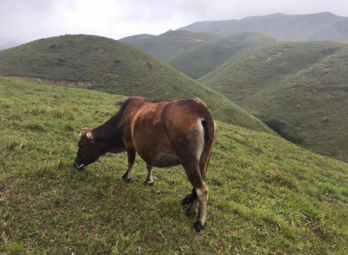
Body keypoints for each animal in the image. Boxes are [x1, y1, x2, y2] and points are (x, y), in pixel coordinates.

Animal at [73, 96, 216, 232]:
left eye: (82, 146)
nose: (75, 164)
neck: (123, 117)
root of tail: (200, 107)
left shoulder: (129, 142)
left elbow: (131, 161)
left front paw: (127, 177)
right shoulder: (148, 148)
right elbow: (149, 165)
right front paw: (149, 181)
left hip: (188, 160)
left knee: (202, 190)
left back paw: (199, 223)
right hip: (203, 161)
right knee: (197, 187)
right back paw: (191, 211)